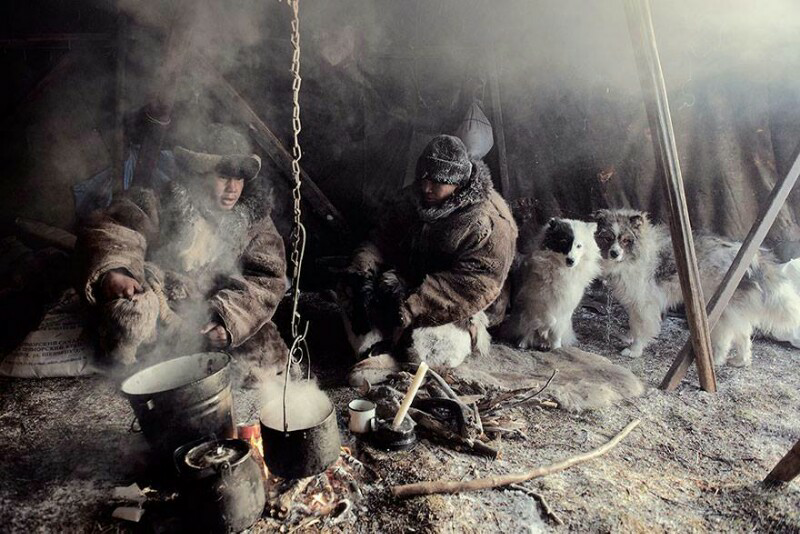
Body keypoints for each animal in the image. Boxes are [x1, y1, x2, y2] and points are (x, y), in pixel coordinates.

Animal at [500, 218, 600, 352]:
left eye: (579, 246)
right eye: (563, 242)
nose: (571, 260)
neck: (561, 270)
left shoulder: (565, 306)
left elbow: (556, 329)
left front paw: (555, 347)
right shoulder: (536, 300)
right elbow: (548, 320)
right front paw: (543, 330)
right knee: (528, 329)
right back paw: (524, 342)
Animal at [592, 209, 800, 368]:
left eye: (626, 240)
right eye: (608, 238)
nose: (614, 253)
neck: (637, 254)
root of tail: (752, 258)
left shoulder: (645, 304)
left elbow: (642, 328)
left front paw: (635, 350)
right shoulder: (635, 303)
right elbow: (634, 324)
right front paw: (630, 339)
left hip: (719, 310)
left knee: (726, 338)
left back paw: (716, 361)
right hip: (733, 310)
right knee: (743, 335)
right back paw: (740, 361)